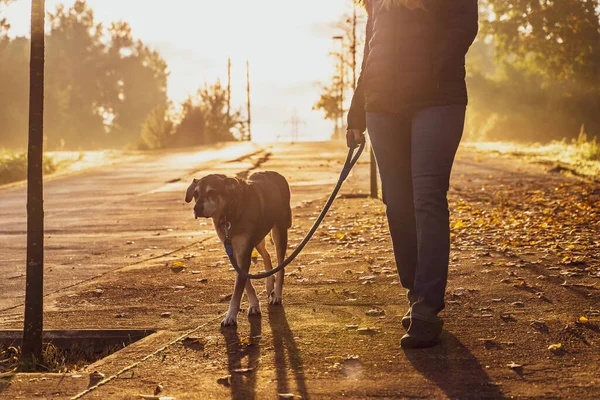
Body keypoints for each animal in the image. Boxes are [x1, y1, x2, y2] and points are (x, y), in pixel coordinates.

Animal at [185, 173, 292, 328]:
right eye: (195, 193)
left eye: (212, 192)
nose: (197, 208)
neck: (229, 212)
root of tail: (275, 173)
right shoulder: (234, 251)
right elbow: (245, 281)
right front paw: (254, 305)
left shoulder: (244, 251)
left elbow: (238, 289)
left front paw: (230, 316)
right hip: (258, 238)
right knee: (267, 256)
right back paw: (269, 284)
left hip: (279, 231)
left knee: (281, 265)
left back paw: (277, 294)